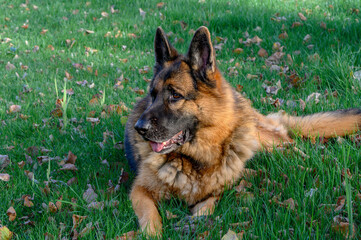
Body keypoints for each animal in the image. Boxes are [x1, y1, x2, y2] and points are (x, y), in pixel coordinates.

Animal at [124, 26, 360, 236]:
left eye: (175, 95)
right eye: (153, 95)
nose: (139, 128)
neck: (196, 159)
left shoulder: (218, 190)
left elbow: (206, 209)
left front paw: (193, 222)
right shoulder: (139, 190)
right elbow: (150, 216)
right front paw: (153, 233)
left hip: (262, 139)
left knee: (288, 141)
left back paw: (310, 161)